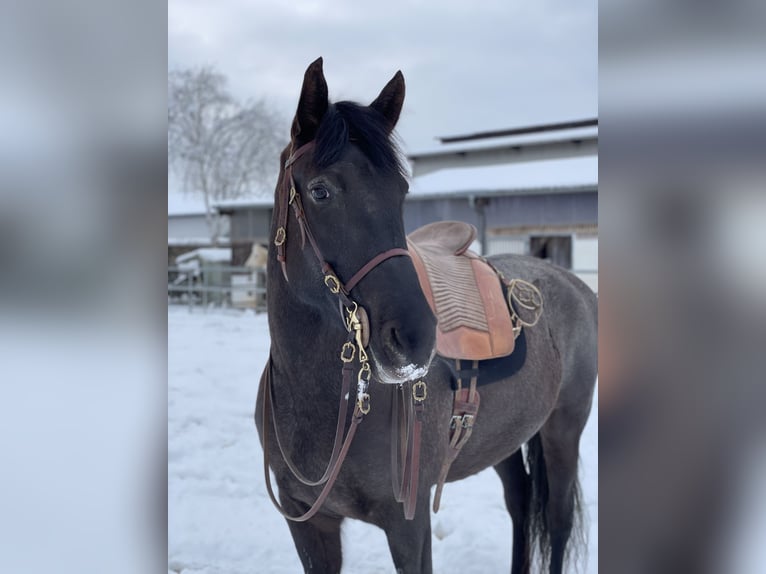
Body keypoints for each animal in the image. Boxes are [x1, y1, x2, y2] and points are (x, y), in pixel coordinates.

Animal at [255, 57, 597, 574]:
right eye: (319, 191)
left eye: (401, 191)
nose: (415, 336)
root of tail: (574, 286)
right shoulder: (310, 526)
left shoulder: (408, 526)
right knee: (520, 503)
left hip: (564, 430)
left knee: (556, 522)